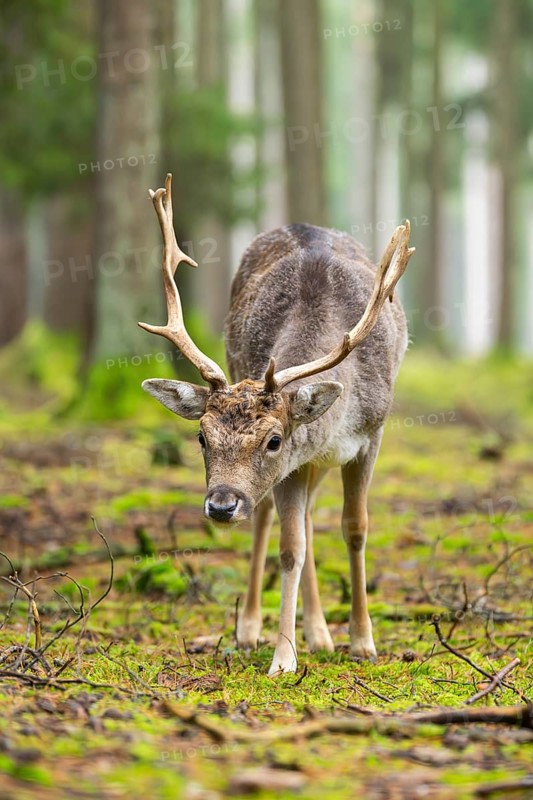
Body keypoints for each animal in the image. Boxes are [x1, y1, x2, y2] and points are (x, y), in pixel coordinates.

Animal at [140, 174, 415, 675]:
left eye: (273, 439)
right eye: (201, 436)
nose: (221, 505)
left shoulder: (370, 435)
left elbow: (356, 529)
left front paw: (363, 641)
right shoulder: (293, 466)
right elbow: (290, 549)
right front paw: (283, 657)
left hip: (317, 463)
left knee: (309, 518)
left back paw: (322, 634)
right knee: (275, 518)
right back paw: (253, 629)